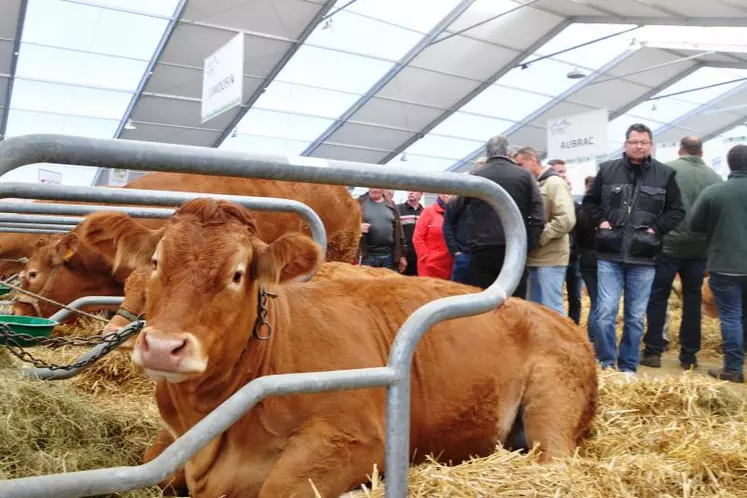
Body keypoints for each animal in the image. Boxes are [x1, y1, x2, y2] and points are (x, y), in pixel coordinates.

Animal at [79, 199, 600, 498]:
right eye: (156, 261)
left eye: (237, 274)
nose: (163, 347)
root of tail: (559, 319)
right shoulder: (169, 446)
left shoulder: (355, 440)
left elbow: (279, 489)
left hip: (553, 406)